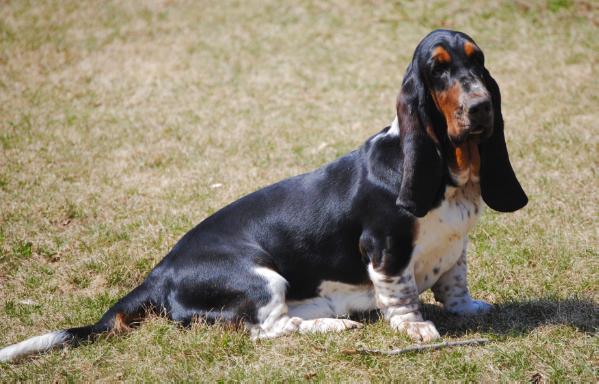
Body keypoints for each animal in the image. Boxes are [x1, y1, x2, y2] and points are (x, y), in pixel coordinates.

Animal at [0, 28, 528, 362]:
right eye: (438, 71)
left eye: (478, 61)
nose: (481, 106)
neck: (449, 170)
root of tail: (158, 274)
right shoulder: (385, 248)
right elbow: (400, 293)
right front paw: (415, 326)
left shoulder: (456, 246)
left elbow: (454, 282)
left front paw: (469, 308)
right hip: (262, 278)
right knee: (266, 328)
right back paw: (335, 326)